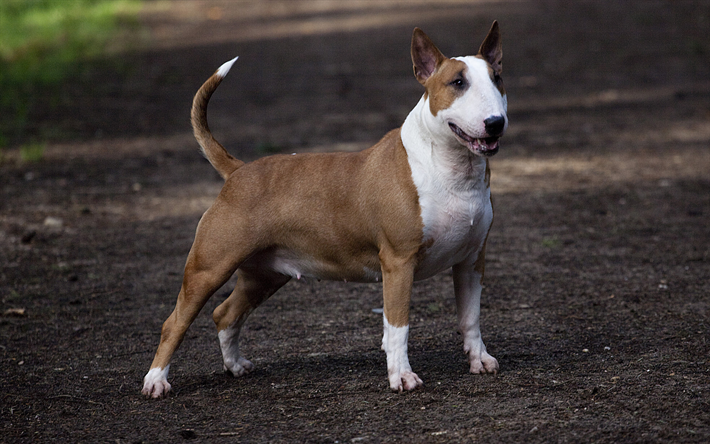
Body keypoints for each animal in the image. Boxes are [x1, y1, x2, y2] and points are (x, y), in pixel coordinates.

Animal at [142, 20, 508, 398]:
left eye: (497, 77)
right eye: (457, 83)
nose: (496, 123)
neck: (449, 168)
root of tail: (238, 171)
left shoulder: (471, 260)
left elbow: (471, 317)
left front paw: (480, 360)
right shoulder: (398, 262)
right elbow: (398, 326)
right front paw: (402, 377)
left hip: (264, 274)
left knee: (225, 313)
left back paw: (235, 366)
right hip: (209, 267)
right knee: (175, 322)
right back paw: (156, 381)